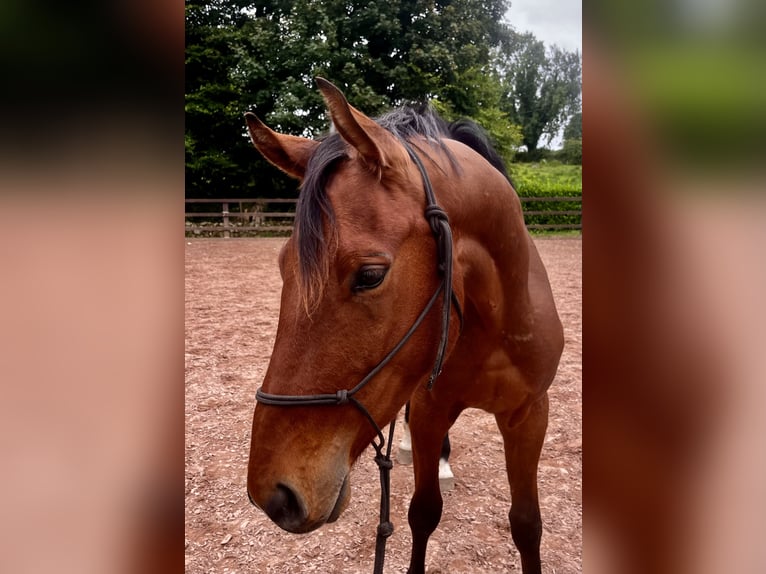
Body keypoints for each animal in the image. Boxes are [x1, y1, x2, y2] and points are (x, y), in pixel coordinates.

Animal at [246, 77, 564, 574]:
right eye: (283, 266)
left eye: (370, 275)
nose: (274, 495)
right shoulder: (432, 407)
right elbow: (424, 511)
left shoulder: (530, 414)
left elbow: (527, 523)